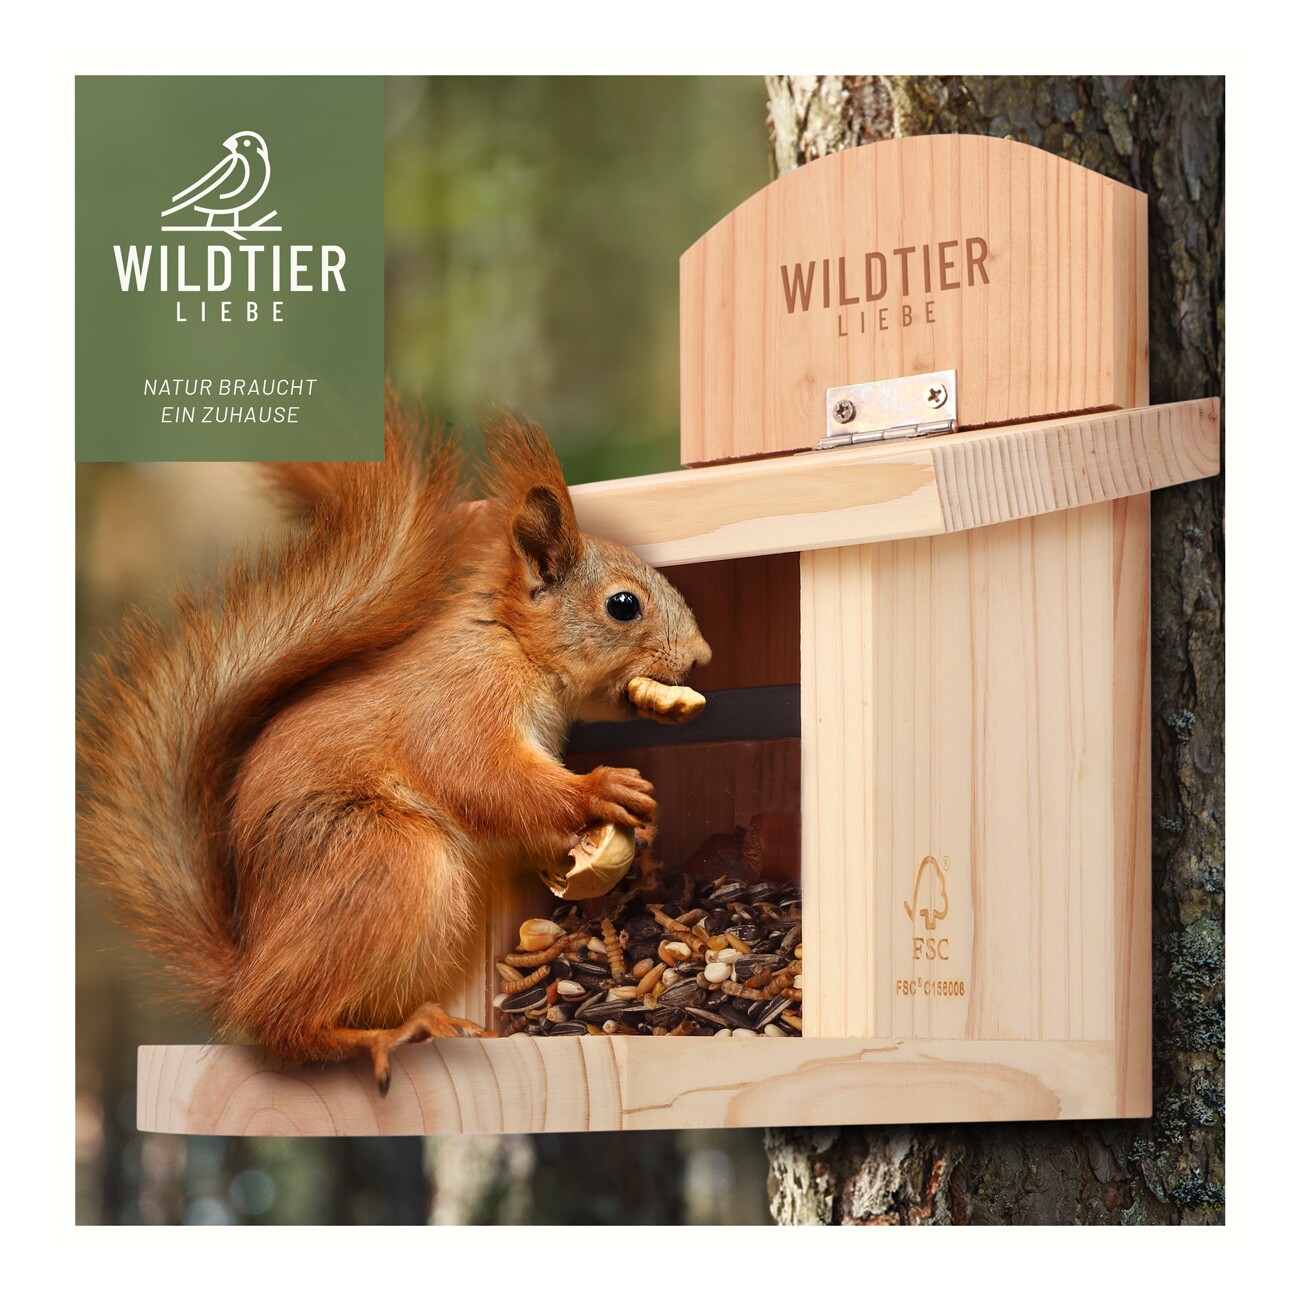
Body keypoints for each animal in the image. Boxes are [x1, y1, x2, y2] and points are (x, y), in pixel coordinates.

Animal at [77, 405, 711, 1093]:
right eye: (623, 605)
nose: (701, 656)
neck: (513, 644)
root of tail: (243, 969)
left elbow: (521, 819)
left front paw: (627, 840)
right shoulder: (461, 703)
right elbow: (485, 779)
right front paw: (602, 788)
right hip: (383, 859)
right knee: (282, 1024)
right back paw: (388, 1033)